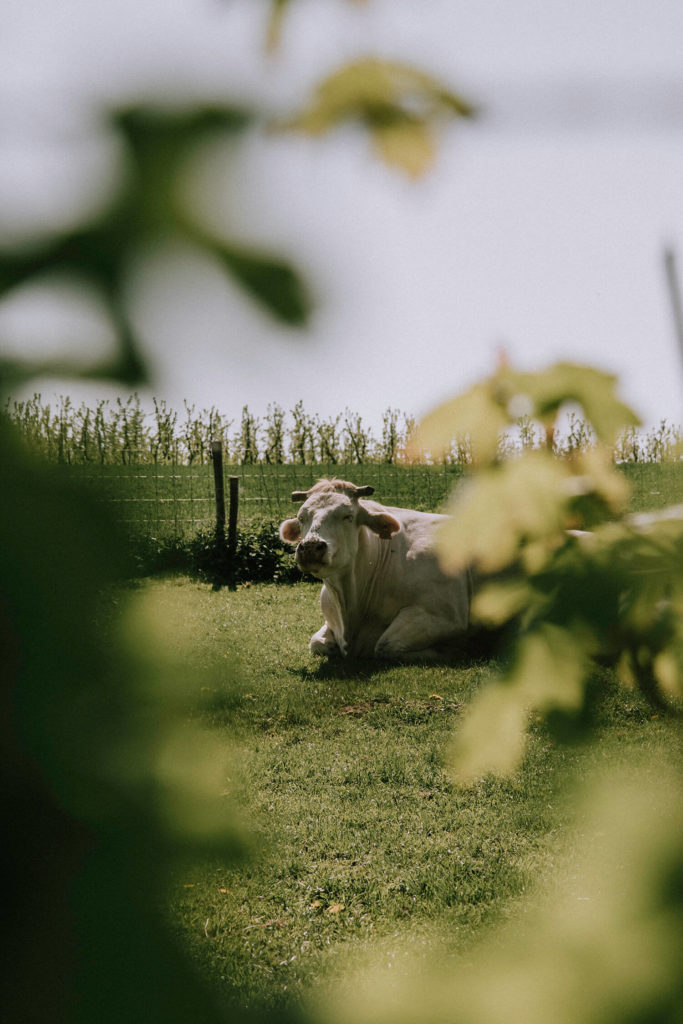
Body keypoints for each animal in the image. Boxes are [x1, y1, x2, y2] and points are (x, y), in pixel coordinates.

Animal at [278, 477, 475, 659]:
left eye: (348, 516)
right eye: (301, 518)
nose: (310, 546)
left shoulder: (445, 615)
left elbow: (386, 646)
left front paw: (451, 650)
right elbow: (316, 643)